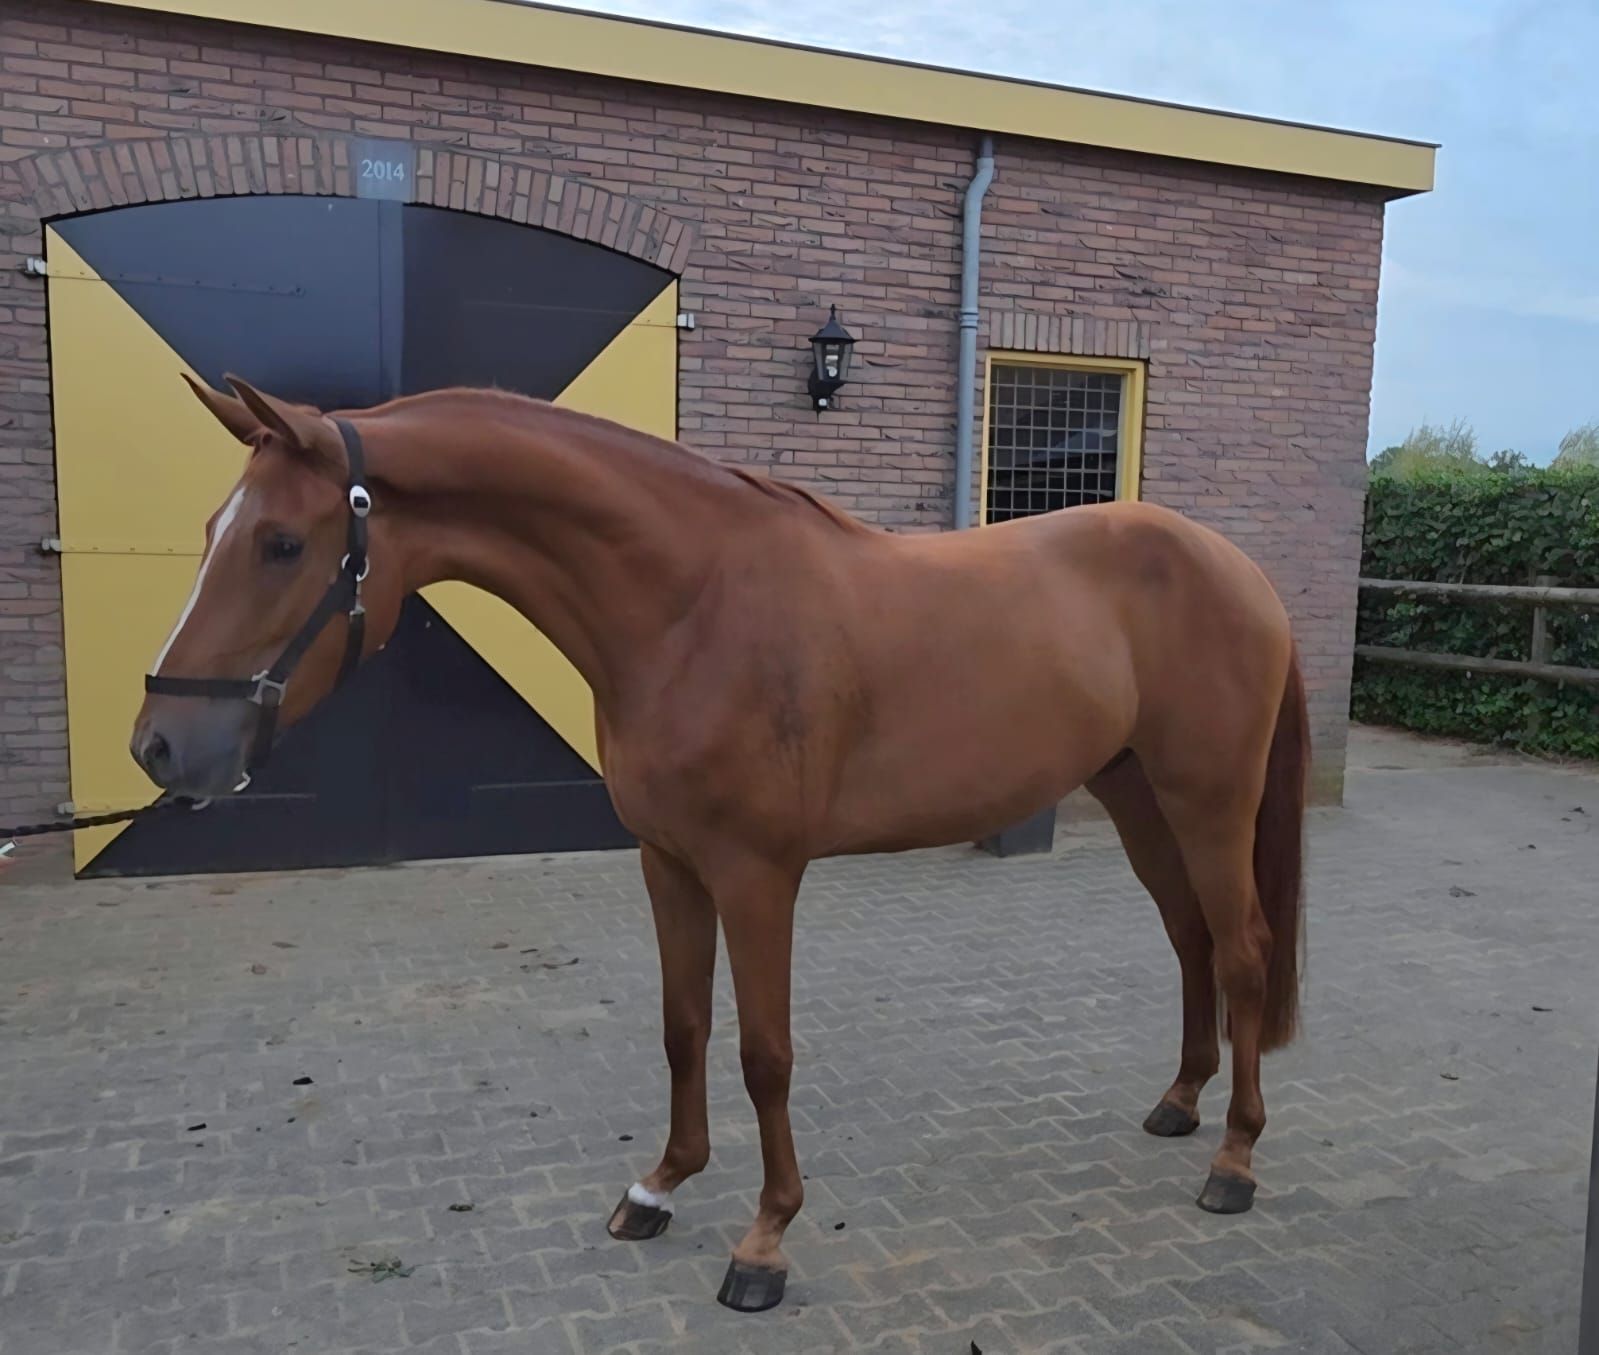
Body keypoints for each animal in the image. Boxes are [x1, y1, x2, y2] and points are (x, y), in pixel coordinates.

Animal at [131, 374, 1308, 1313]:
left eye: (282, 542)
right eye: (213, 528)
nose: (159, 744)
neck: (688, 608)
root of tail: (1239, 568)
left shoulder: (757, 874)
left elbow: (763, 1053)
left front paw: (764, 1238)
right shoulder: (669, 862)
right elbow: (683, 1027)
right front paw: (657, 1186)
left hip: (1207, 801)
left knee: (1245, 951)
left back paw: (1236, 1158)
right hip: (1139, 797)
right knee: (1194, 942)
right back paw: (1179, 1103)